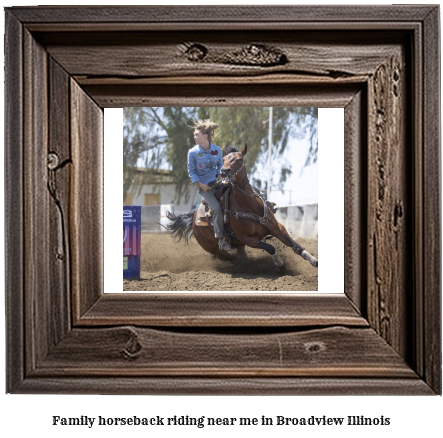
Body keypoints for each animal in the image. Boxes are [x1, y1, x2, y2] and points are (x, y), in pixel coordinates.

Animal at [166, 145, 316, 270]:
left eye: (239, 159)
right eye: (224, 159)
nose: (224, 171)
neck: (249, 205)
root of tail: (193, 218)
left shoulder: (277, 228)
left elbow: (295, 246)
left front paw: (313, 260)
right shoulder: (248, 239)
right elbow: (270, 247)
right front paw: (279, 264)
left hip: (238, 245)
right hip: (214, 249)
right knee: (233, 259)